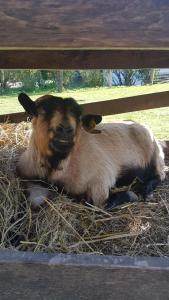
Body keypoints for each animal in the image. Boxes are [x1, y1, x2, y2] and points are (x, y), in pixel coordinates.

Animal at [16, 93, 165, 209]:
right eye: (43, 111)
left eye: (79, 118)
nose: (66, 130)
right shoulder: (29, 178)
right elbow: (35, 200)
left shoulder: (100, 182)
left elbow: (99, 204)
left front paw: (134, 195)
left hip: (154, 155)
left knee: (160, 175)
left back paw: (145, 191)